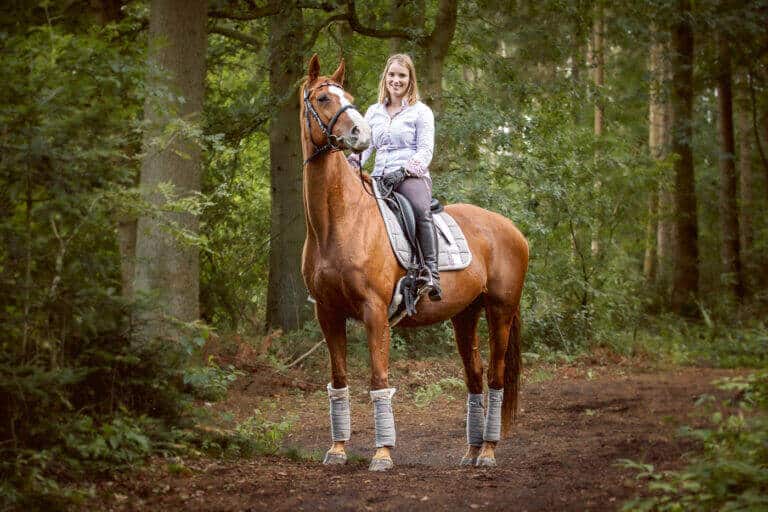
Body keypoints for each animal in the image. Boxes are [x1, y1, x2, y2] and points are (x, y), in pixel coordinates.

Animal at [300, 54, 529, 471]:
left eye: (349, 98)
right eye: (323, 98)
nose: (360, 133)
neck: (339, 221)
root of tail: (511, 229)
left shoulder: (374, 312)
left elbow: (379, 381)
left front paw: (383, 453)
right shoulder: (327, 312)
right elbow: (338, 379)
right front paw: (337, 449)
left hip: (500, 311)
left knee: (497, 376)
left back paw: (488, 451)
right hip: (465, 315)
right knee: (474, 375)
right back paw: (471, 450)